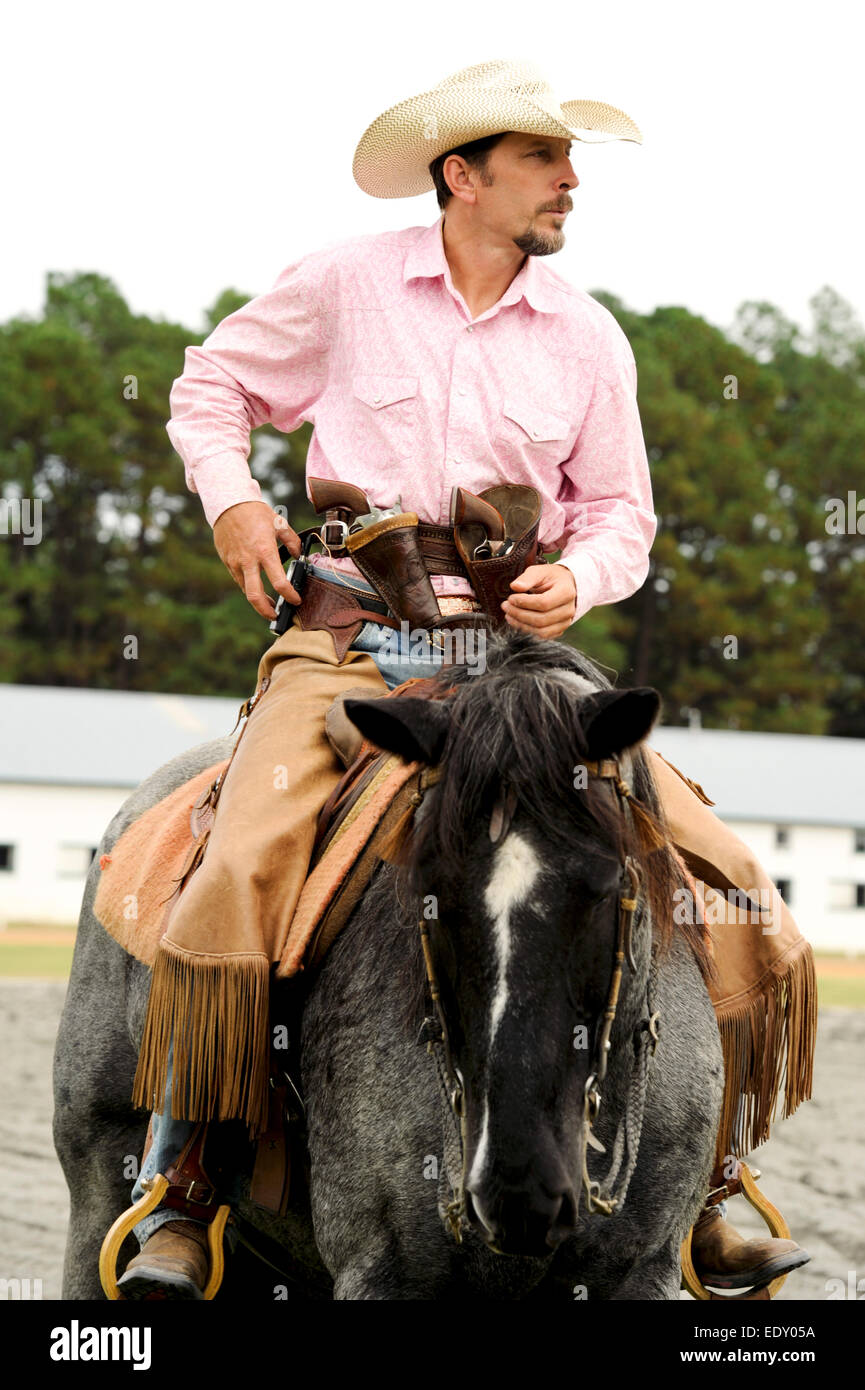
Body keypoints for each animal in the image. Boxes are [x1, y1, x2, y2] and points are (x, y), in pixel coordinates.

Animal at [54, 633, 723, 1301]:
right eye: (428, 889)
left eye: (607, 883)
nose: (516, 1181)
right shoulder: (385, 1271)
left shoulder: (640, 1269)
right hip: (97, 1182)